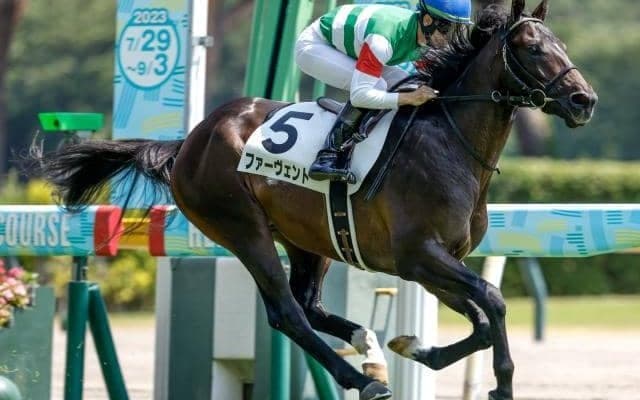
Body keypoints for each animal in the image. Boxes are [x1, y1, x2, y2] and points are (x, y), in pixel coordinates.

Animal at [30, 1, 596, 399]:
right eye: (532, 47)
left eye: (562, 43)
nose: (583, 100)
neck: (449, 141)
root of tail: (190, 139)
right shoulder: (419, 256)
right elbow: (493, 303)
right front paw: (502, 384)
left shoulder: (434, 263)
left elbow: (480, 320)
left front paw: (414, 346)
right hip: (243, 229)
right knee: (287, 314)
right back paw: (363, 378)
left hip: (309, 239)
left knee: (310, 304)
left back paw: (368, 345)